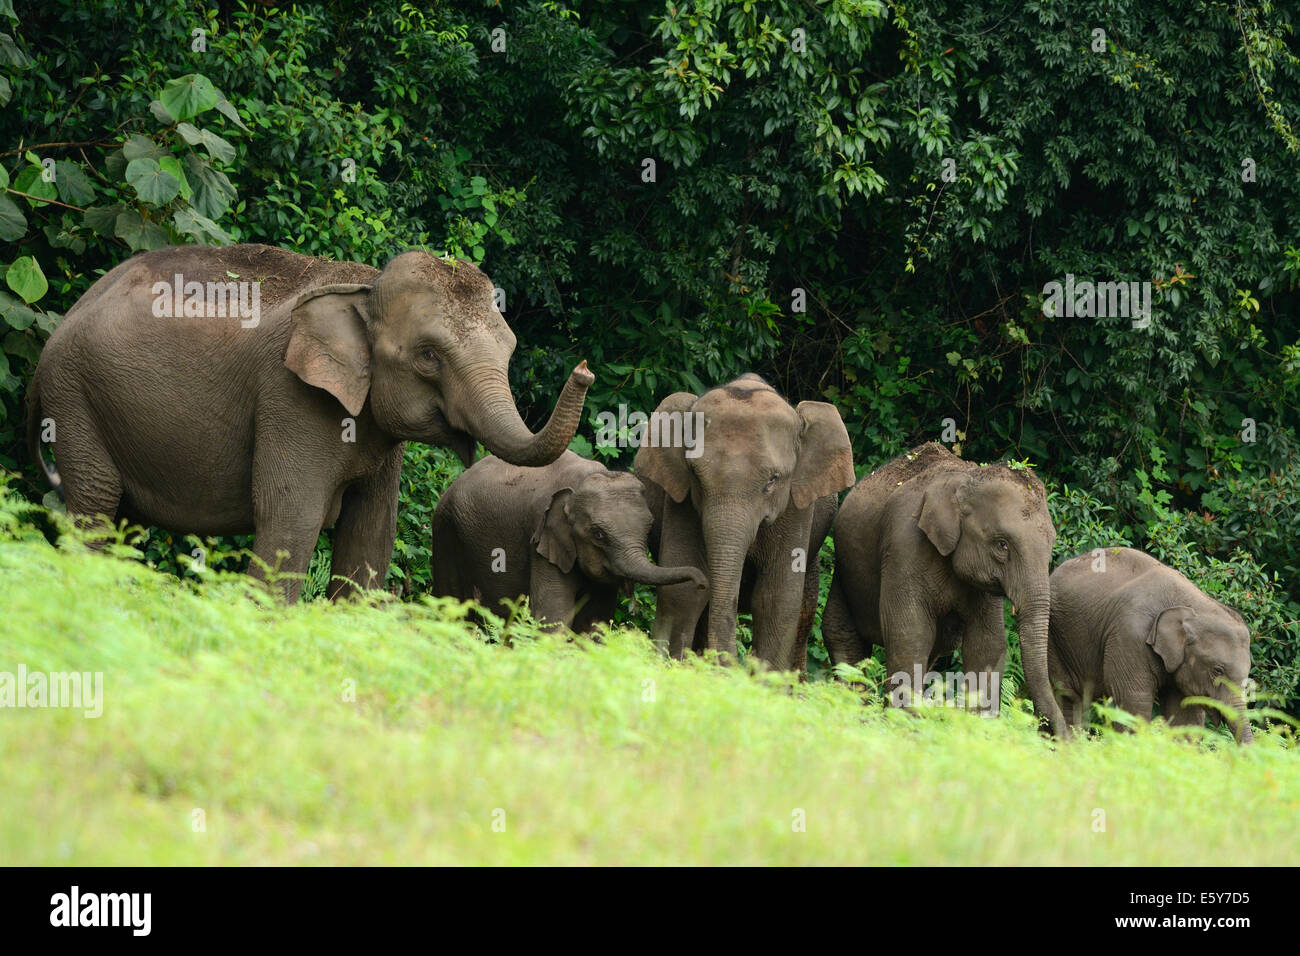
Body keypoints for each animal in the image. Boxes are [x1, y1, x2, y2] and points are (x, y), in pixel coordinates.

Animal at [26, 243, 593, 602]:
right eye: (429, 356)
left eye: (510, 349)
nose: (585, 368)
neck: (362, 287)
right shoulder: (292, 398)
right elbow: (289, 516)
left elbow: (372, 531)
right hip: (73, 399)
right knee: (96, 505)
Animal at [430, 450, 706, 630]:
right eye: (598, 534)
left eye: (649, 528)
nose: (703, 583)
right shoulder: (541, 541)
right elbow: (552, 615)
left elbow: (595, 620)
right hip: (446, 533)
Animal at [634, 374, 856, 672]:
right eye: (695, 475)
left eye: (773, 480)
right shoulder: (682, 503)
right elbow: (682, 592)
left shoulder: (795, 509)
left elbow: (776, 600)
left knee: (805, 611)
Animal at [821, 442, 1068, 736]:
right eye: (1002, 545)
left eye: (1051, 545)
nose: (1052, 734)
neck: (966, 479)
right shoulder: (903, 545)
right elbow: (910, 633)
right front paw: (904, 727)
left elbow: (986, 643)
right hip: (844, 570)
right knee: (844, 638)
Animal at [1048, 547, 1253, 742]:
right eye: (1217, 670)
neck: (1193, 607)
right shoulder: (1129, 636)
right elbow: (1133, 702)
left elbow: (1185, 716)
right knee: (1067, 696)